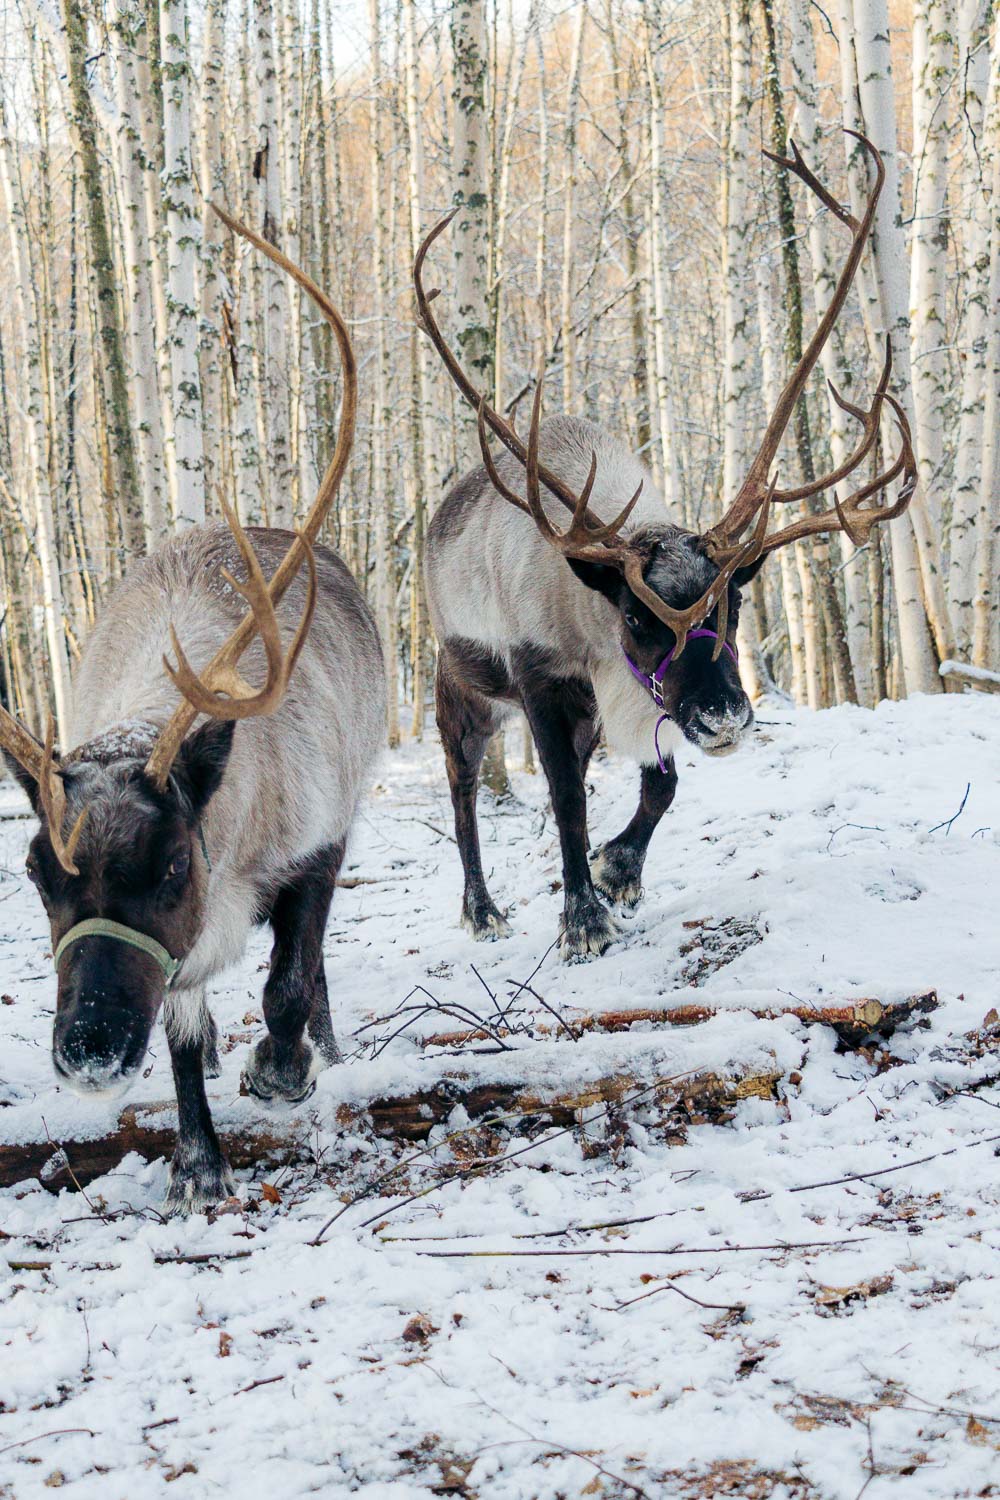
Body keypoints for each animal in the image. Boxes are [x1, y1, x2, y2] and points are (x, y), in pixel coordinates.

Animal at [1, 209, 386, 1213]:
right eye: (36, 874)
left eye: (173, 864)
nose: (89, 1052)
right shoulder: (177, 960)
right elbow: (177, 1033)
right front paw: (198, 1164)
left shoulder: (317, 845)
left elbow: (289, 983)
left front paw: (281, 1073)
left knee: (312, 974)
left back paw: (321, 1052)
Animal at [416, 134, 916, 961]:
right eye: (638, 617)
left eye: (735, 602)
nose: (725, 719)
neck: (588, 622)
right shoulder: (543, 679)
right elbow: (564, 796)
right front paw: (583, 919)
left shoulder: (623, 703)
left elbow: (660, 783)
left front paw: (616, 869)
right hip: (460, 688)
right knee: (461, 791)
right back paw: (481, 909)